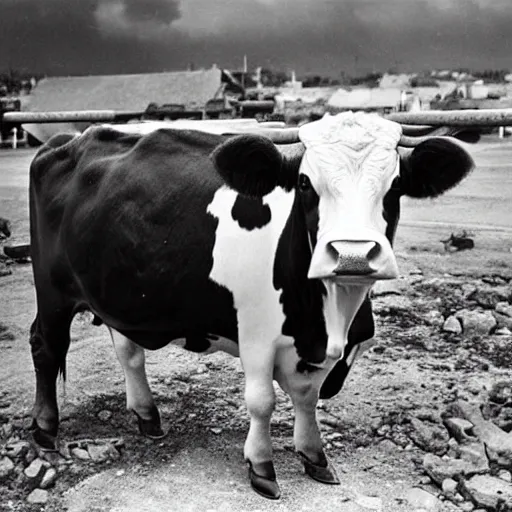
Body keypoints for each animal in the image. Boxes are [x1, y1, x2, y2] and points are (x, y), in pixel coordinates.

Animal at [28, 113, 474, 500]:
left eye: (395, 185)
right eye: (306, 183)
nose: (353, 255)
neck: (328, 321)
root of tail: (68, 139)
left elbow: (307, 398)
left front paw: (314, 456)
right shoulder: (257, 336)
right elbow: (263, 402)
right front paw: (261, 467)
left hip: (116, 289)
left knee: (128, 351)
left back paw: (147, 415)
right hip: (52, 290)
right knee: (46, 346)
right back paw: (45, 428)